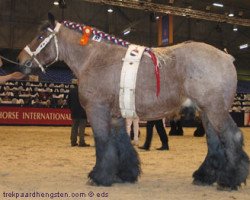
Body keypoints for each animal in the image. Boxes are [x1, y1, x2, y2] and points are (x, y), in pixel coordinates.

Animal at [17, 13, 248, 189]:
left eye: (40, 36)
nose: (21, 60)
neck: (95, 58)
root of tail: (226, 57)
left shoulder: (96, 110)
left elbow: (103, 143)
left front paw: (99, 176)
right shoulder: (116, 115)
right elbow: (121, 142)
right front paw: (125, 174)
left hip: (215, 110)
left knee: (232, 137)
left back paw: (230, 180)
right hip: (207, 113)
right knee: (215, 142)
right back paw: (204, 176)